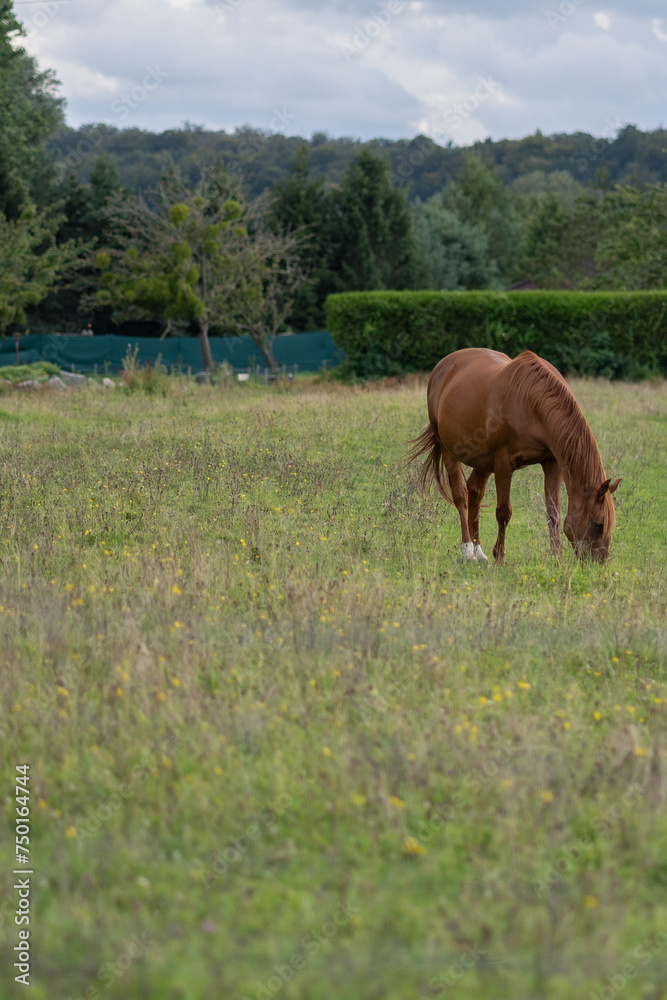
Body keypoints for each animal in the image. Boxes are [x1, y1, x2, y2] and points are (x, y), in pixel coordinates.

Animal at [410, 350, 624, 564]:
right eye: (598, 524)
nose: (599, 563)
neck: (532, 404)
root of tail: (443, 366)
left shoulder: (552, 463)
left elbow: (553, 513)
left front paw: (556, 559)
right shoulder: (503, 463)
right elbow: (503, 512)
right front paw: (500, 558)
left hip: (483, 460)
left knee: (475, 492)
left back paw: (479, 551)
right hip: (449, 450)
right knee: (461, 495)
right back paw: (468, 550)